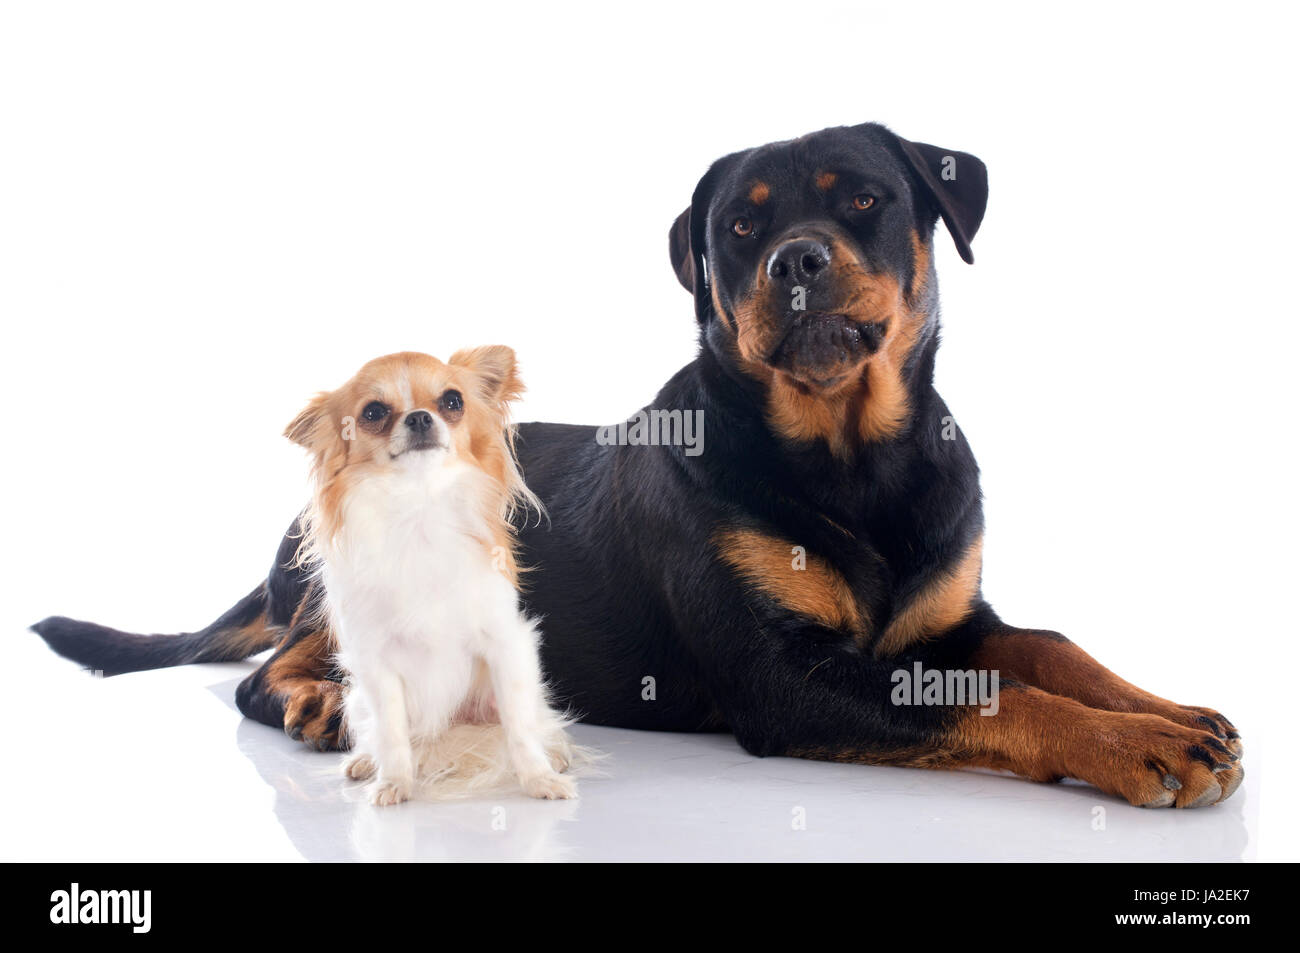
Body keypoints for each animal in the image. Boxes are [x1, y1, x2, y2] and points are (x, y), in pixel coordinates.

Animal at [35, 118, 1242, 800]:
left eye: (864, 198)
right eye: (740, 228)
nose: (797, 259)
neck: (851, 459)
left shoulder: (954, 616)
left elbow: (1046, 647)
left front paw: (1169, 710)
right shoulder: (789, 680)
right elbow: (992, 697)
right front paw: (1139, 746)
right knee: (263, 673)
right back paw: (316, 704)